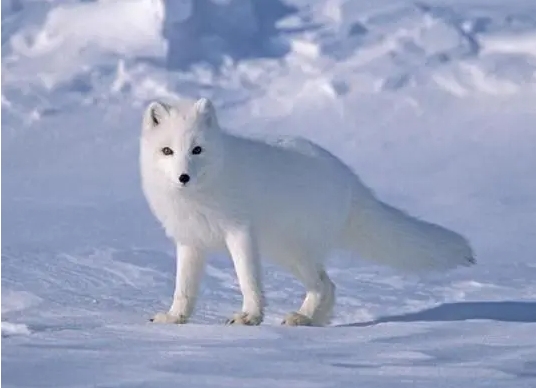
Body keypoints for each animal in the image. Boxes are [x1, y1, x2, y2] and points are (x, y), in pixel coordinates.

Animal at [140, 98, 476, 328]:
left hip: (293, 251)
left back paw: (303, 318)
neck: (199, 196)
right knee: (328, 285)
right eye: (167, 151)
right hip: (285, 252)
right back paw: (312, 320)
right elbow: (183, 288)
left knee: (324, 285)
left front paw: (250, 317)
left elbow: (248, 279)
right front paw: (174, 318)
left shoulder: (240, 232)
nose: (183, 177)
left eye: (197, 149)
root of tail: (350, 179)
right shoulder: (190, 241)